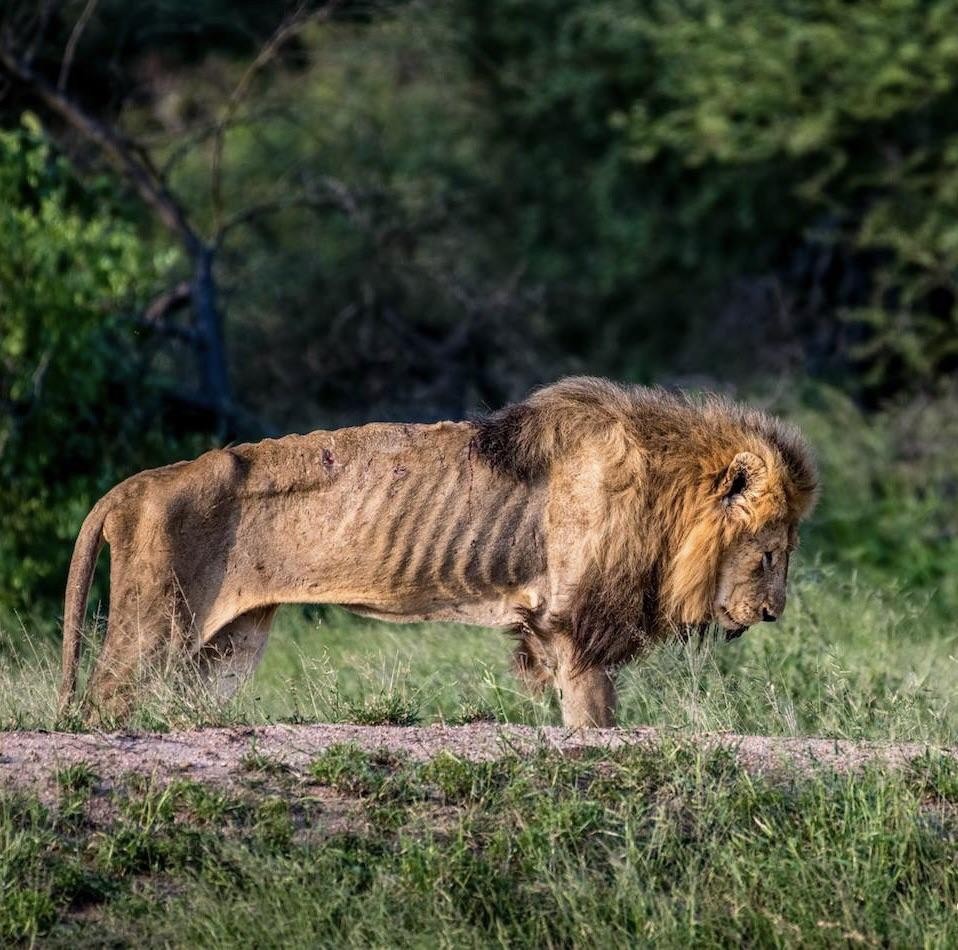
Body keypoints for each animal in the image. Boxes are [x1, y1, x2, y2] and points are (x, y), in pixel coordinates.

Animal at [62, 378, 816, 728]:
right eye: (769, 554)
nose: (774, 613)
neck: (666, 492)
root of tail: (133, 486)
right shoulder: (575, 623)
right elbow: (594, 716)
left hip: (224, 649)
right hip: (154, 628)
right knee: (102, 704)